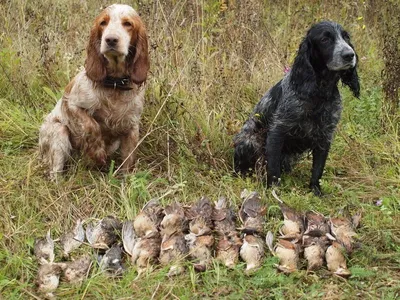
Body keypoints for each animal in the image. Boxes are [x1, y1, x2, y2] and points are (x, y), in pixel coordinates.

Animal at [39, 4, 149, 178]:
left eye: (128, 24)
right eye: (103, 23)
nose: (110, 39)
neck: (114, 85)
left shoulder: (132, 126)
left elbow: (128, 161)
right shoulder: (72, 105)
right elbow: (91, 125)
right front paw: (97, 153)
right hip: (59, 133)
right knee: (55, 173)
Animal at [233, 20, 360, 195]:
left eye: (346, 37)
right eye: (325, 39)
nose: (349, 54)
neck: (320, 92)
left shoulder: (325, 136)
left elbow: (318, 170)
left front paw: (315, 191)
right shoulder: (277, 132)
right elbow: (273, 170)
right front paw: (274, 192)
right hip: (249, 142)